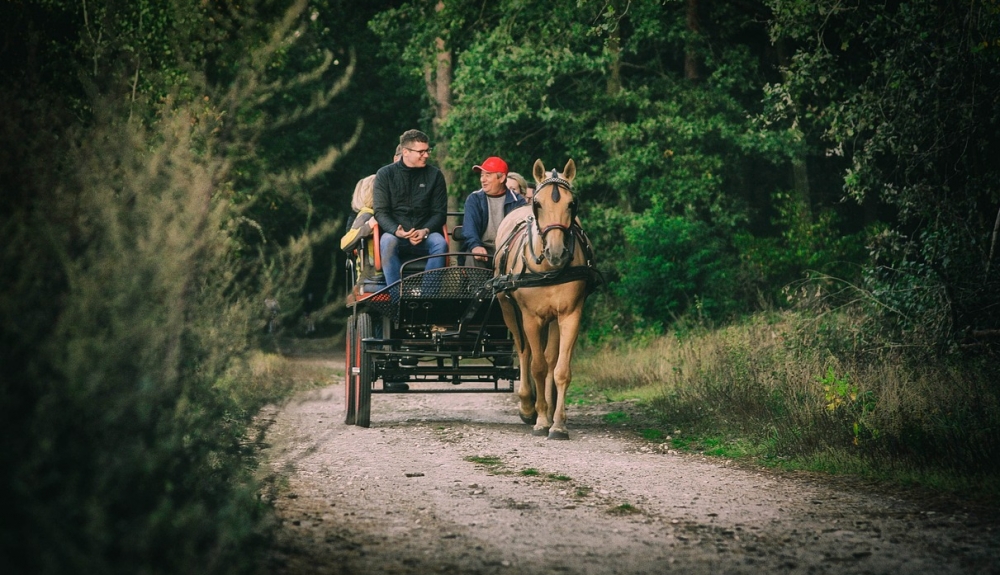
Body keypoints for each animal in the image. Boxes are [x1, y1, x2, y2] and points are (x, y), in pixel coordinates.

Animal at [488, 160, 596, 438]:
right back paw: (528, 406)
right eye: (538, 204)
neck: (548, 268)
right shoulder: (531, 317)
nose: (556, 252)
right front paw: (538, 419)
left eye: (572, 203)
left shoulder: (569, 314)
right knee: (524, 352)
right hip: (508, 308)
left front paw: (557, 423)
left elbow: (559, 369)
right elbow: (536, 365)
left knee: (549, 359)